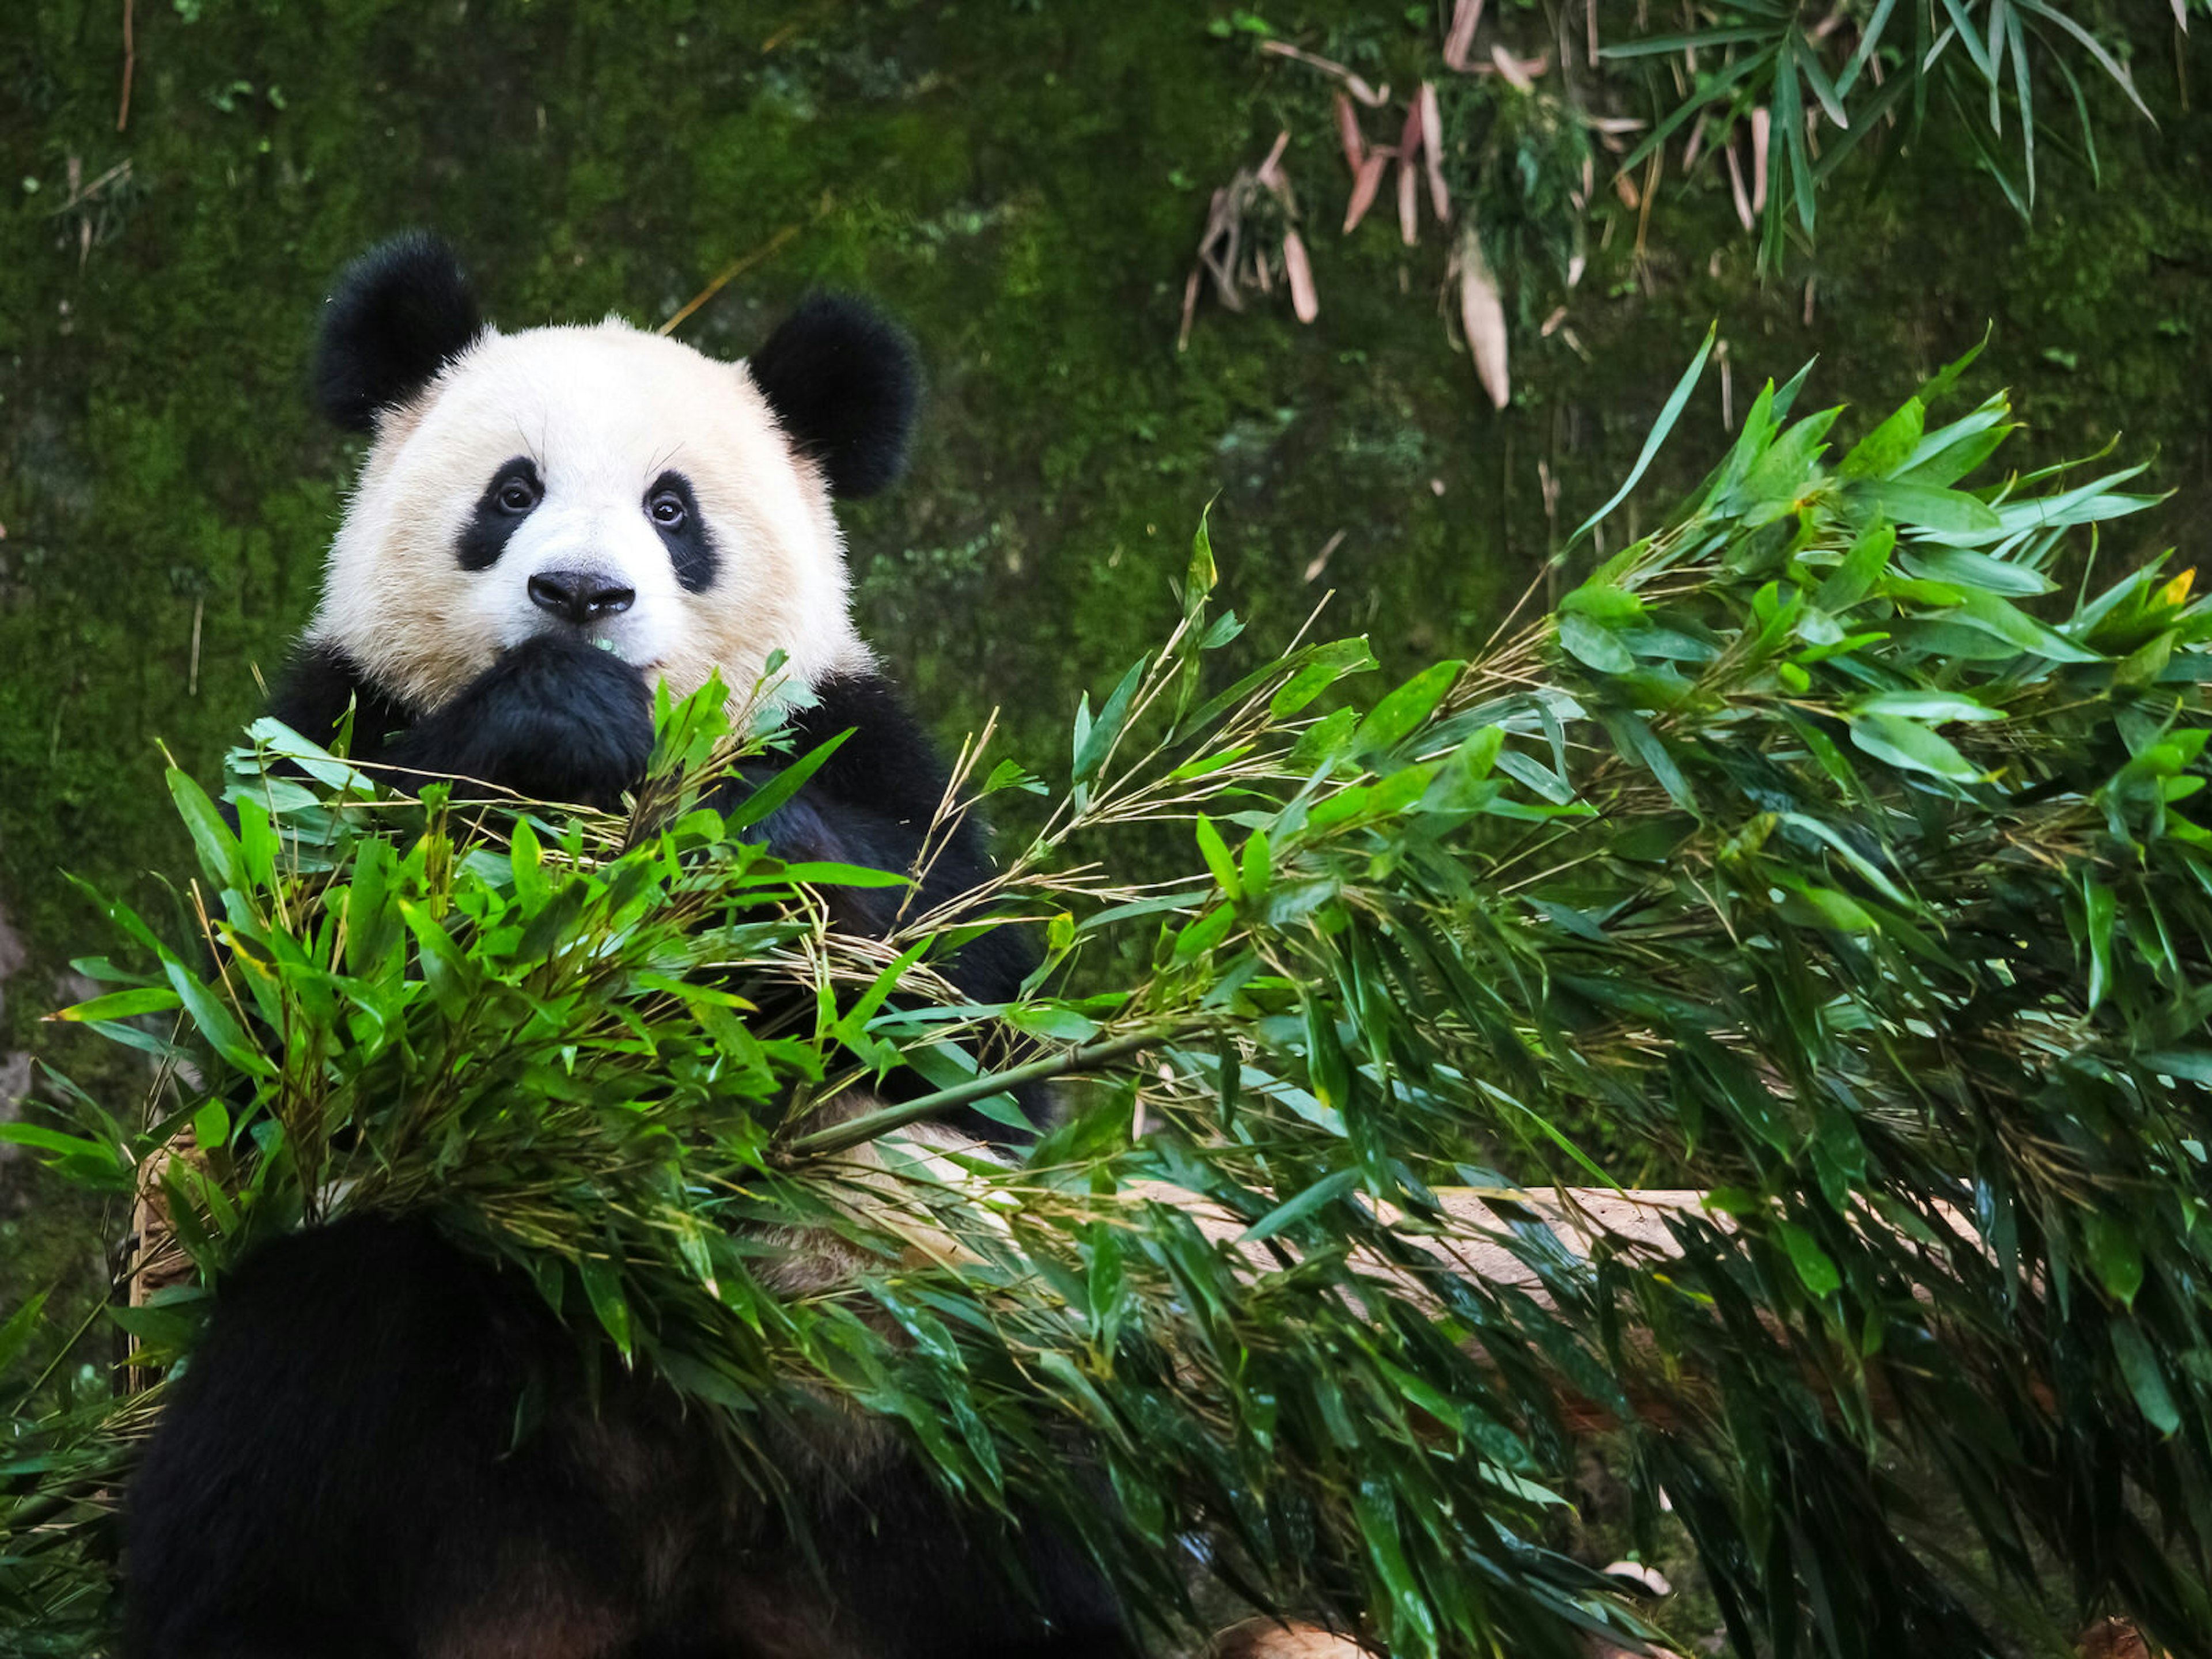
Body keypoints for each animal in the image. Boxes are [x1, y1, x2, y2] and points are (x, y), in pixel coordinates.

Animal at [116, 240, 1123, 1659]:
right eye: (513, 491)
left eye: (671, 510)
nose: (580, 597)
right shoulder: (320, 744)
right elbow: (285, 1014)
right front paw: (551, 715)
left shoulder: (869, 749)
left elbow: (966, 1026)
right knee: (292, 1402)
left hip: (890, 1367)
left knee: (1018, 1477)